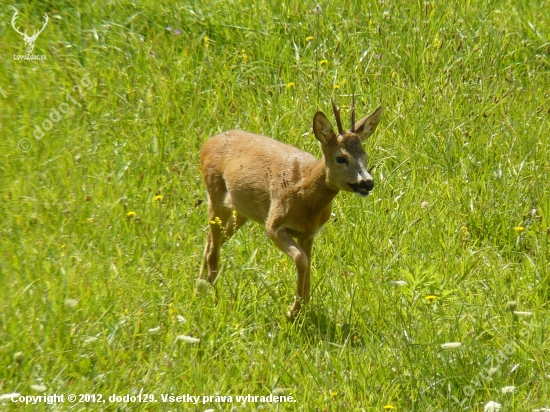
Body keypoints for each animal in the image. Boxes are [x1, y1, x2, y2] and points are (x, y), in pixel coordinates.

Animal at [199, 97, 384, 318]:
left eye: (365, 156)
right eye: (341, 158)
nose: (367, 182)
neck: (306, 198)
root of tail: (207, 143)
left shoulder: (309, 233)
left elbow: (308, 265)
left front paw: (302, 309)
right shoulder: (274, 225)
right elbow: (301, 259)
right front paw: (292, 312)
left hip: (241, 210)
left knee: (210, 240)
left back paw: (199, 289)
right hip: (216, 194)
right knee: (213, 249)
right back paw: (215, 299)